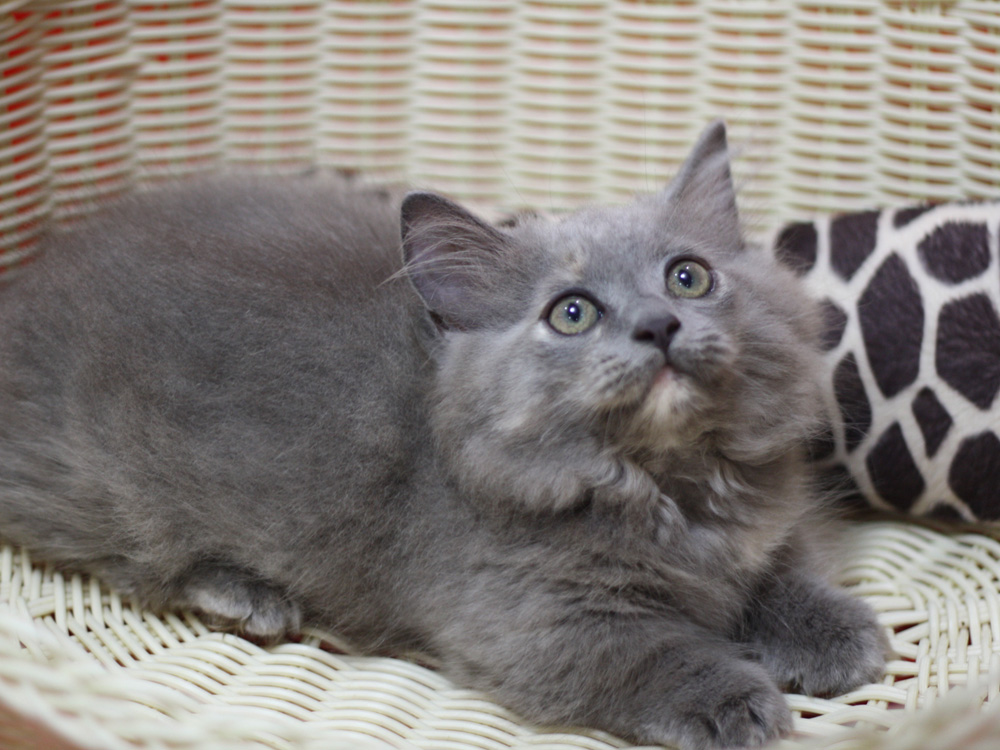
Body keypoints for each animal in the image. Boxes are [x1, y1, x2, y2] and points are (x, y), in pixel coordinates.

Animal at [3, 125, 888, 750]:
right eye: (572, 312)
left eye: (688, 277)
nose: (658, 325)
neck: (665, 480)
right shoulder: (531, 621)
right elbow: (652, 653)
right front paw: (736, 700)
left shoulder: (765, 529)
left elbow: (781, 573)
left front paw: (838, 634)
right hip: (108, 490)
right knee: (129, 561)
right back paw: (247, 594)